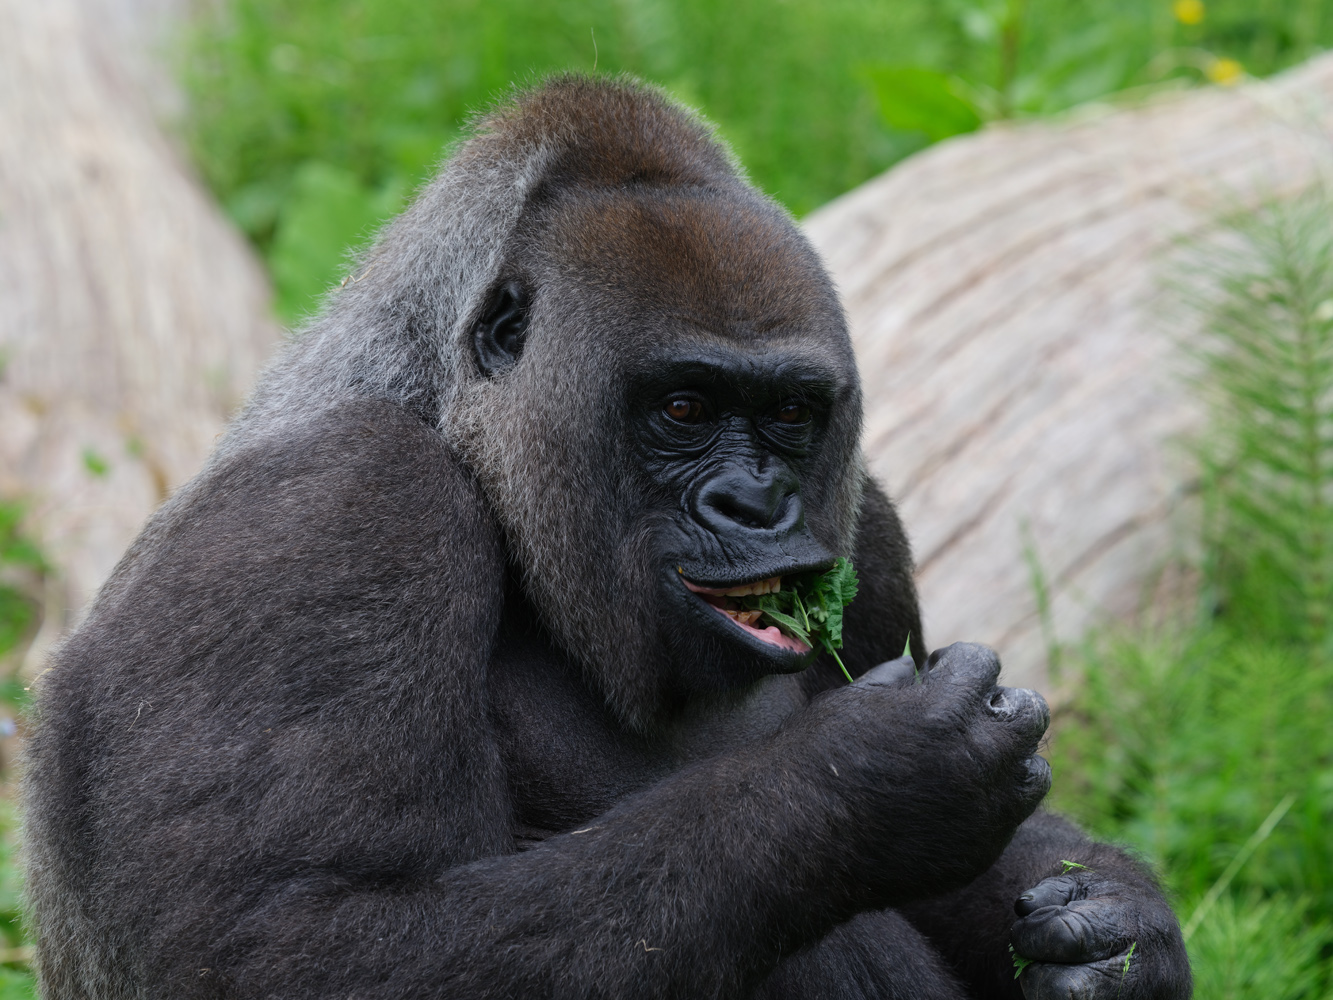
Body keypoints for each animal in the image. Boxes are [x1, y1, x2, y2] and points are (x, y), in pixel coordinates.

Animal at [20, 80, 1194, 1000]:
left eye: (790, 415)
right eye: (682, 408)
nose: (755, 506)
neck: (458, 428)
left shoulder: (869, 532)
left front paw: (1118, 927)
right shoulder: (335, 510)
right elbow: (288, 946)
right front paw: (873, 784)